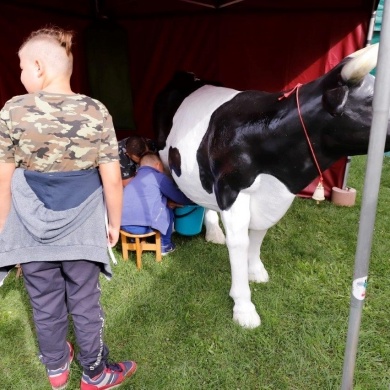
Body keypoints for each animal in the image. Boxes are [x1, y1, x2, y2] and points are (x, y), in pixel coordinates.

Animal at [153, 43, 386, 330]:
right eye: (374, 101)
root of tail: (186, 74)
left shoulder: (270, 196)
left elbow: (259, 233)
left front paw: (255, 271)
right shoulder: (232, 189)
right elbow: (240, 242)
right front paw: (244, 308)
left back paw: (214, 232)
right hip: (166, 156)